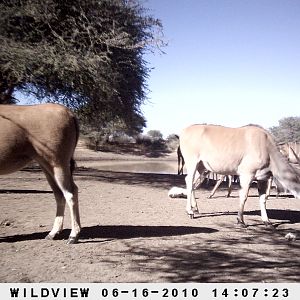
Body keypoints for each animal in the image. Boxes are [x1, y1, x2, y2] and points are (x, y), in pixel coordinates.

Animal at [0, 103, 81, 244]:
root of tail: (69, 113)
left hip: (58, 165)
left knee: (70, 193)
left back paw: (73, 236)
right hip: (47, 167)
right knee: (60, 194)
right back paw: (53, 233)